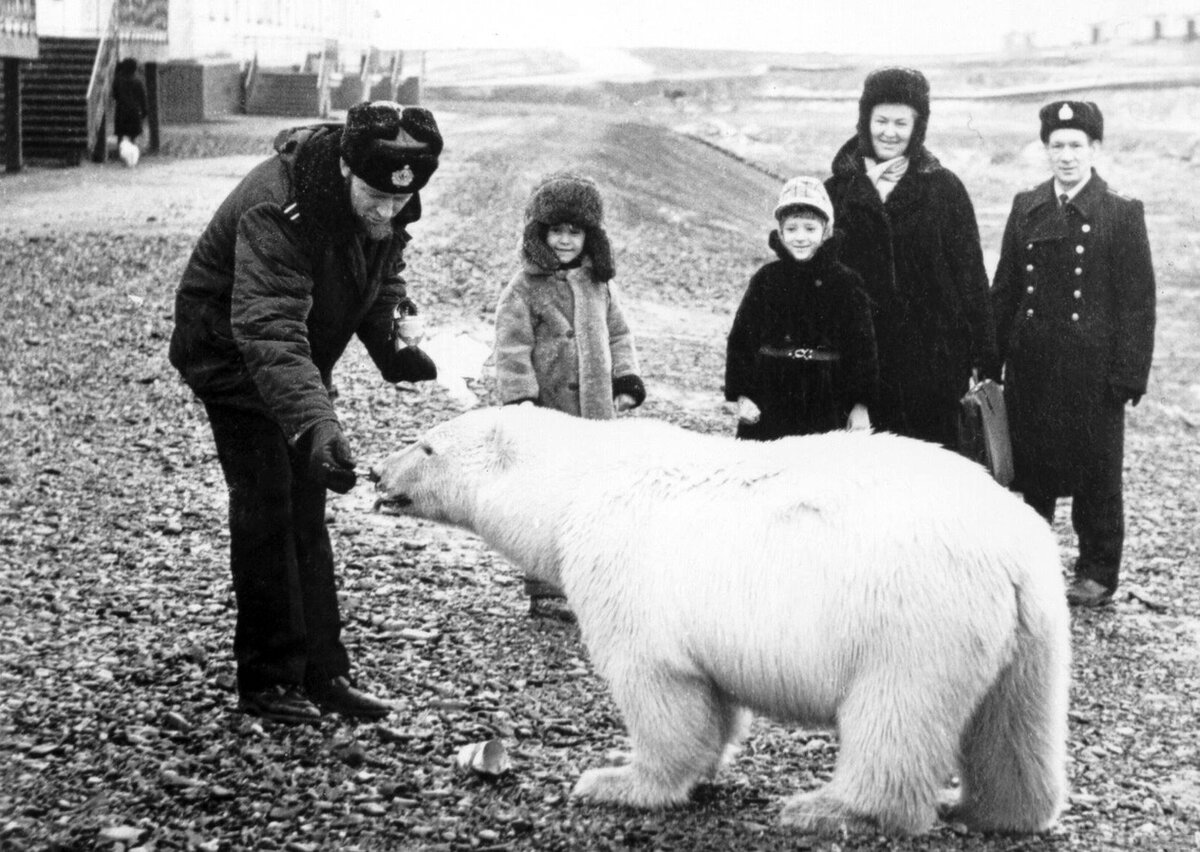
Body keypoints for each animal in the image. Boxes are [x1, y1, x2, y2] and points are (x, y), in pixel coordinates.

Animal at [374, 408, 1070, 840]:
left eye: (428, 444)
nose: (376, 471)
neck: (577, 487)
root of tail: (1015, 553)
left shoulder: (621, 567)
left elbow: (658, 687)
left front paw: (618, 779)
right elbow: (714, 702)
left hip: (911, 617)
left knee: (895, 714)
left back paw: (828, 808)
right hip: (1031, 628)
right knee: (1016, 721)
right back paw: (988, 809)